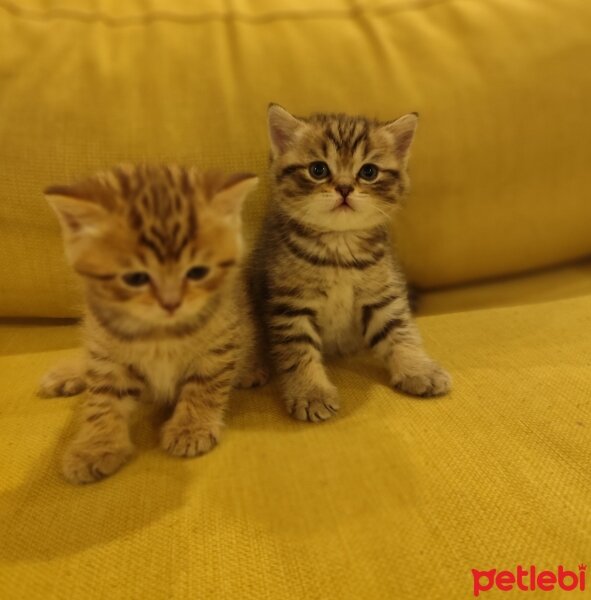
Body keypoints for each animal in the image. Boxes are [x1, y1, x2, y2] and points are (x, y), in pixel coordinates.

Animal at [42, 164, 260, 482]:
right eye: (135, 278)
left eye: (198, 272)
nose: (171, 303)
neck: (159, 333)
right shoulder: (106, 352)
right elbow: (102, 399)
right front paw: (95, 446)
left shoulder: (221, 340)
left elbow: (205, 385)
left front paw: (191, 427)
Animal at [247, 104, 450, 422]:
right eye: (318, 170)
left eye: (368, 172)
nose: (344, 188)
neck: (339, 249)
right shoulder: (290, 304)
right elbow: (298, 351)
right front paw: (311, 392)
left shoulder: (383, 293)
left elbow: (399, 331)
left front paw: (418, 369)